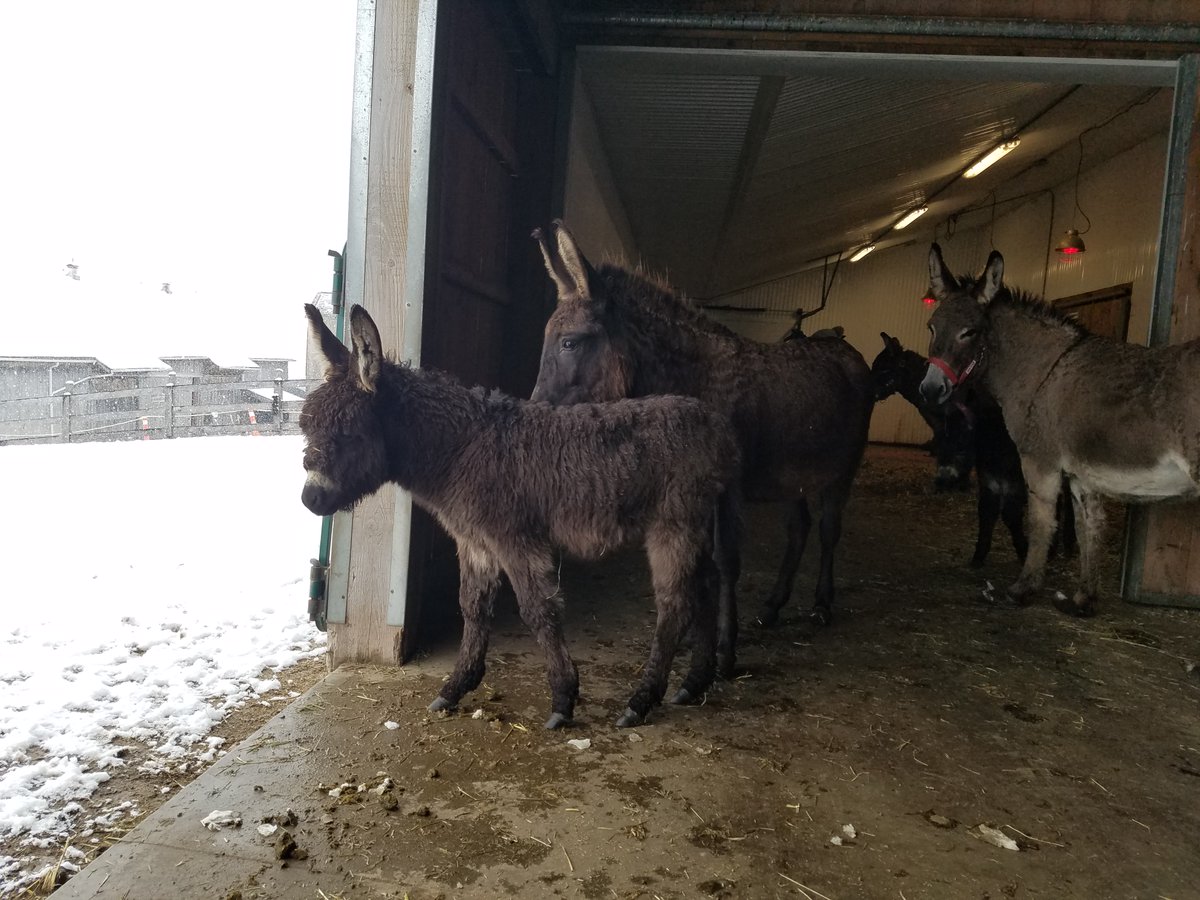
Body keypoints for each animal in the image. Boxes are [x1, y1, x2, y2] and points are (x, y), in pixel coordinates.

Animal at [297, 307, 739, 729]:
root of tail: (717, 424)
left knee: (675, 605)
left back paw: (641, 701)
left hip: (674, 523)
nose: (310, 499)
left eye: (349, 431)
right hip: (696, 524)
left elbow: (539, 610)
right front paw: (456, 688)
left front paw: (563, 700)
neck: (459, 449)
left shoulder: (515, 539)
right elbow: (472, 608)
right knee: (707, 586)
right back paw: (693, 682)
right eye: (305, 425)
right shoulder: (475, 541)